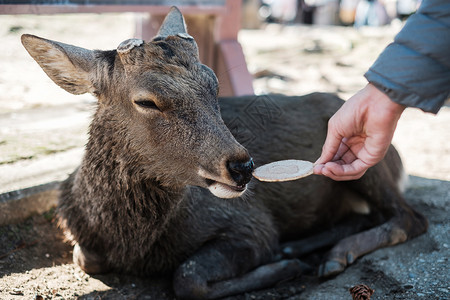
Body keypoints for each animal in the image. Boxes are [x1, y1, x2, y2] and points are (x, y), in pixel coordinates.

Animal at [21, 7, 428, 300]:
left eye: (214, 83)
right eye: (146, 101)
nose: (243, 166)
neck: (131, 242)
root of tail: (399, 158)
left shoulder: (249, 223)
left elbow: (187, 279)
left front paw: (283, 268)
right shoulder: (81, 241)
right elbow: (87, 259)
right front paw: (286, 260)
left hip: (363, 157)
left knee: (410, 217)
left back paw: (329, 254)